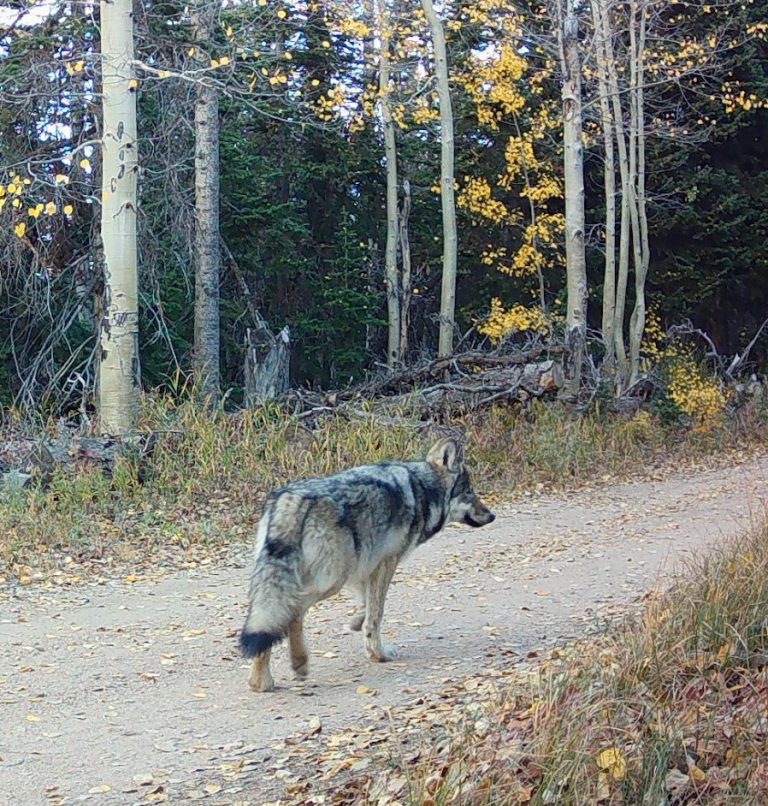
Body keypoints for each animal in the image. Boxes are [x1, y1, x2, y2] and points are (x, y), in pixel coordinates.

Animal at [239, 438, 495, 692]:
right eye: (469, 492)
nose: (492, 516)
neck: (422, 489)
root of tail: (290, 499)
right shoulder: (385, 562)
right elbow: (376, 613)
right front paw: (378, 654)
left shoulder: (364, 569)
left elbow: (366, 605)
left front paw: (355, 623)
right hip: (331, 581)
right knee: (291, 613)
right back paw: (296, 664)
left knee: (271, 622)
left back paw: (261, 681)